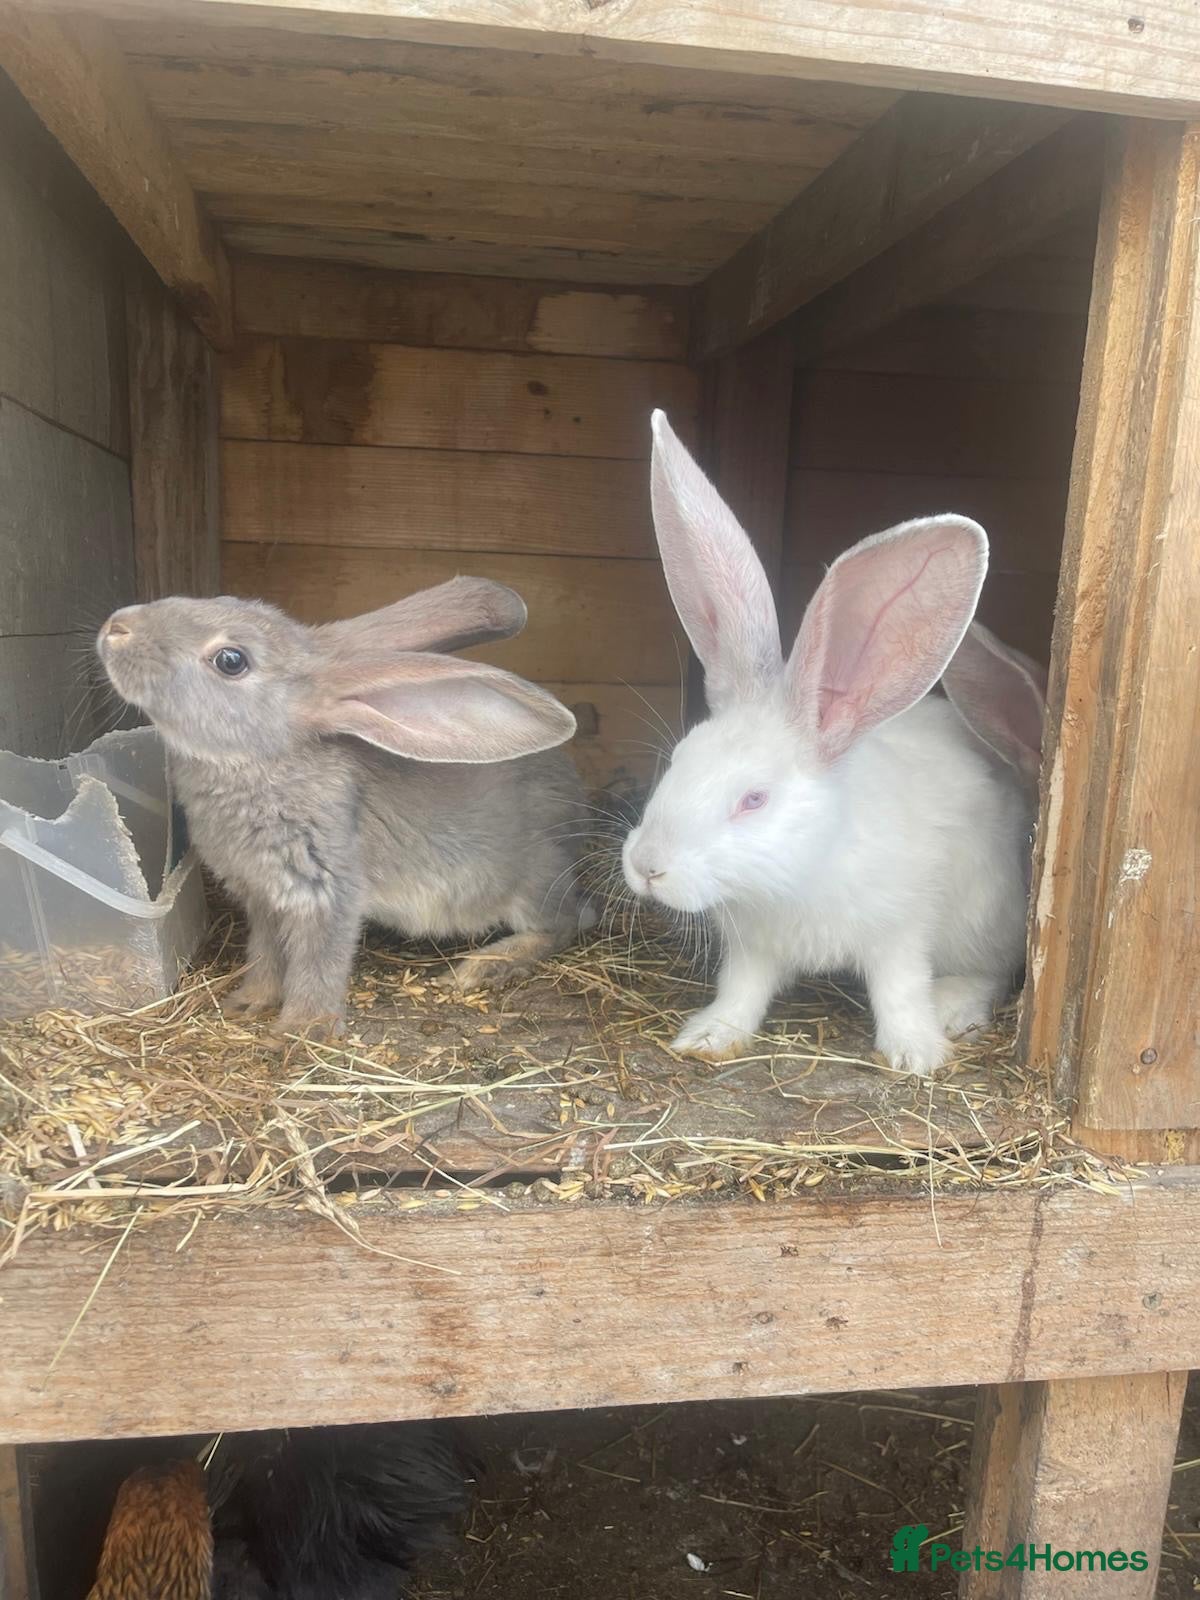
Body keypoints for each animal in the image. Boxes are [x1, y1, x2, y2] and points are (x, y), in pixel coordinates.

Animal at [97, 576, 590, 1037]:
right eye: (223, 599)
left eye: (231, 660)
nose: (117, 627)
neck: (261, 762)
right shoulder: (264, 902)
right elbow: (265, 956)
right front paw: (248, 1002)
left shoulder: (327, 891)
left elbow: (317, 964)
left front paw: (300, 1031)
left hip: (532, 882)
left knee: (565, 923)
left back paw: (481, 967)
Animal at [620, 411, 1033, 1076]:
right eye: (677, 761)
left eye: (755, 799)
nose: (647, 867)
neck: (793, 876)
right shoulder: (753, 948)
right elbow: (741, 991)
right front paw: (709, 1037)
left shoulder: (901, 929)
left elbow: (900, 989)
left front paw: (915, 1053)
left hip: (988, 916)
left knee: (989, 971)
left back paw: (954, 1007)